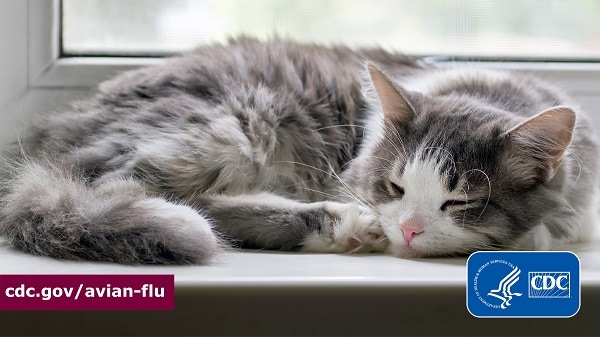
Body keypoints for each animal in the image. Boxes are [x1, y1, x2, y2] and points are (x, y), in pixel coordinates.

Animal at [0, 36, 596, 262]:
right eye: (395, 186)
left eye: (461, 202)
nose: (407, 229)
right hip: (235, 122)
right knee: (147, 195)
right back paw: (343, 224)